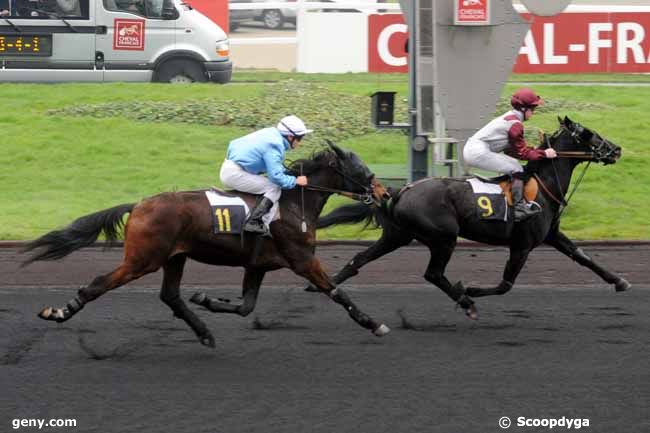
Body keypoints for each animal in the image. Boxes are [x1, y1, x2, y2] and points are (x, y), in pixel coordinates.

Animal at [22, 143, 390, 346]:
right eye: (361, 168)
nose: (385, 193)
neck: (293, 203)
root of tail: (139, 205)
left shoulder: (257, 265)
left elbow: (245, 307)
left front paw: (207, 299)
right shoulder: (302, 260)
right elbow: (337, 292)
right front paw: (374, 324)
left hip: (174, 258)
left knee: (170, 295)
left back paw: (204, 332)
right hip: (143, 259)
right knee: (100, 283)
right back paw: (60, 311)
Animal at [308, 116, 628, 316]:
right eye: (587, 133)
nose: (616, 149)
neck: (543, 184)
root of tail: (400, 191)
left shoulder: (551, 235)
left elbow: (584, 257)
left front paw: (619, 281)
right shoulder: (522, 244)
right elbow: (505, 284)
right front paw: (471, 288)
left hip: (398, 236)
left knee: (360, 259)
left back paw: (322, 285)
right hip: (444, 237)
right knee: (433, 274)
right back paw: (465, 301)